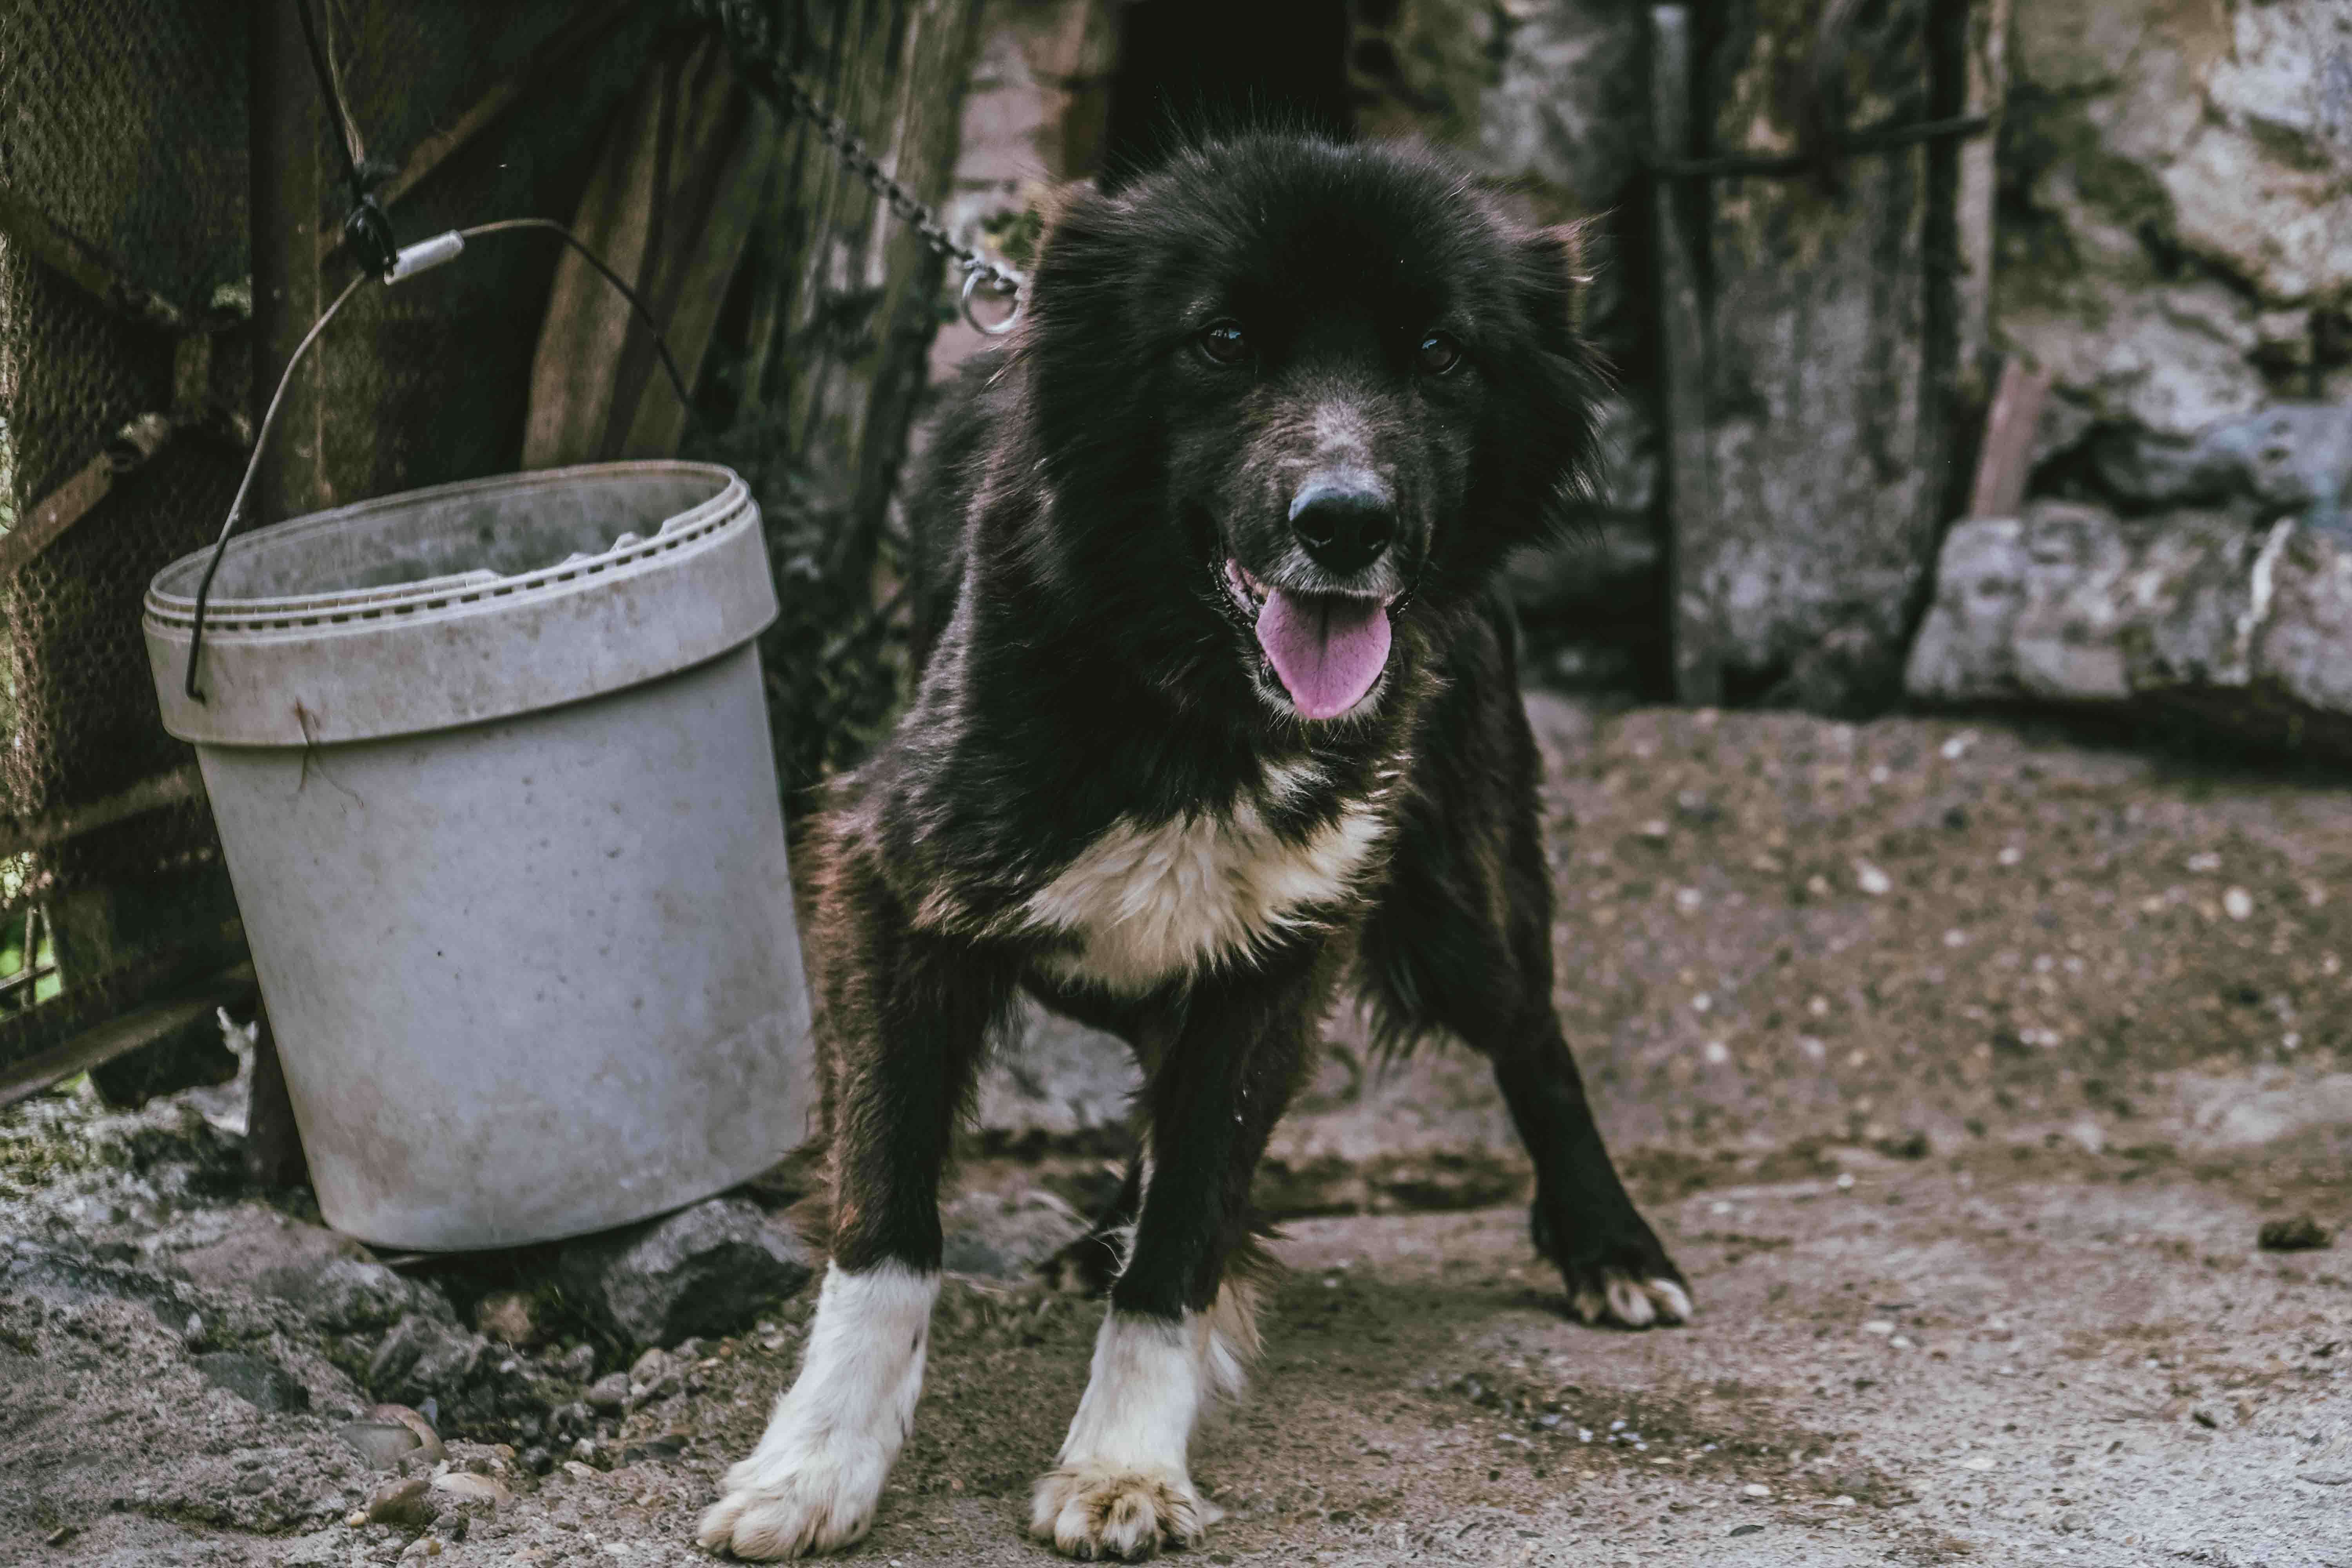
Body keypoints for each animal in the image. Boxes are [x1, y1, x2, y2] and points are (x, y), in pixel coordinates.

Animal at [696, 131, 1693, 1561]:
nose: (1347, 522)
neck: (1192, 702)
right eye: (1222, 341)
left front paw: (1124, 1461)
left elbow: (1191, 1229)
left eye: (1441, 354)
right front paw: (816, 1463)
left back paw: (1614, 1249)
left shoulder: (1286, 947)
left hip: (1454, 900)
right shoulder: (891, 886)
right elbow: (885, 1219)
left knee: (1533, 1035)